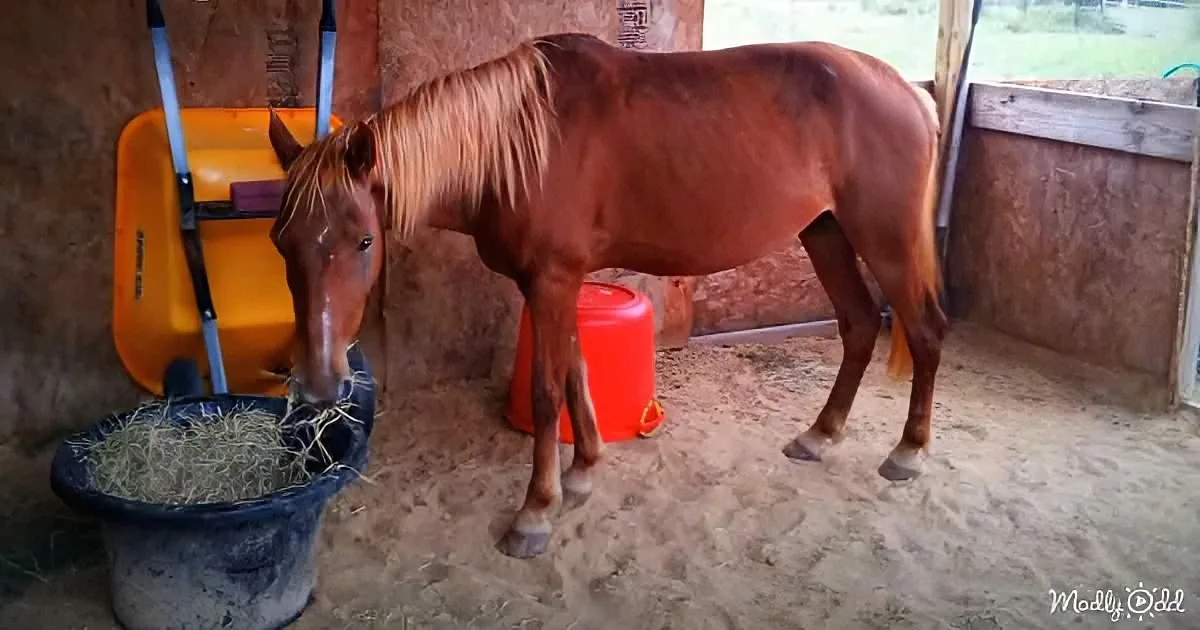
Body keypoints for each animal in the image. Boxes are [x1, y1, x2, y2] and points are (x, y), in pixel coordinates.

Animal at [265, 32, 947, 560]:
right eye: (279, 242)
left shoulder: (552, 279)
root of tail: (910, 91)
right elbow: (574, 371)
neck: (518, 141)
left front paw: (535, 512)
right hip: (824, 233)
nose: (319, 383)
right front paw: (584, 471)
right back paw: (820, 435)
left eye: (362, 241)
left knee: (924, 331)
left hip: (883, 240)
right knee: (860, 325)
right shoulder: (550, 283)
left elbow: (546, 393)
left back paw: (909, 452)